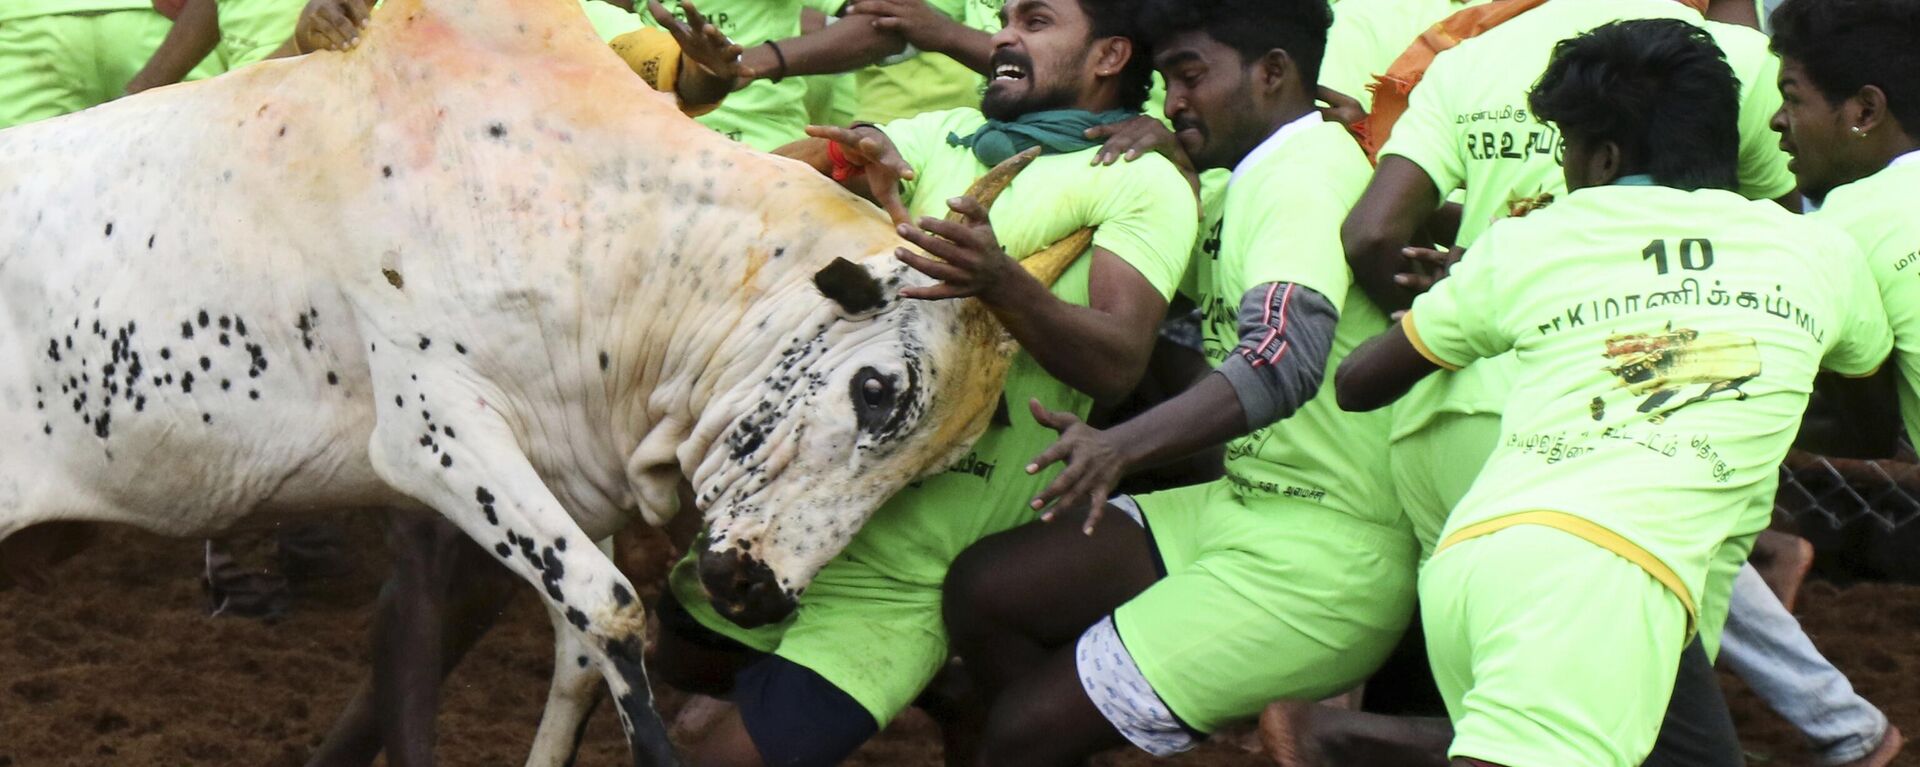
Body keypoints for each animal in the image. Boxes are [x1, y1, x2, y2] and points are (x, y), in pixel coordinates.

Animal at [0, 0, 1082, 761]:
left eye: (944, 467)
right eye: (877, 389)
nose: (756, 591)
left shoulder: (570, 474)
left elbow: (575, 655)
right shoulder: (435, 435)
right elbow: (611, 609)